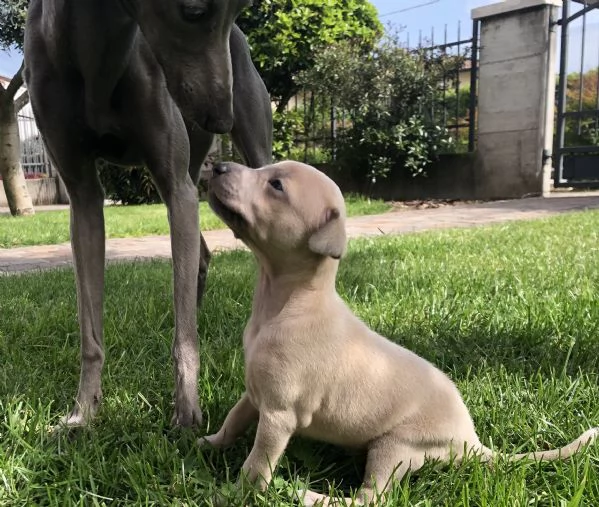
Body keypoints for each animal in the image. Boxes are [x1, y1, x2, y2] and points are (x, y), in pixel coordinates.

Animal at [22, 0, 272, 428]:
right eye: (193, 12)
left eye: (240, 10)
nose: (222, 118)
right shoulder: (83, 196)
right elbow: (90, 329)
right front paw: (83, 412)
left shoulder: (175, 182)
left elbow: (184, 335)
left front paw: (187, 411)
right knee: (199, 257)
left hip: (246, 147)